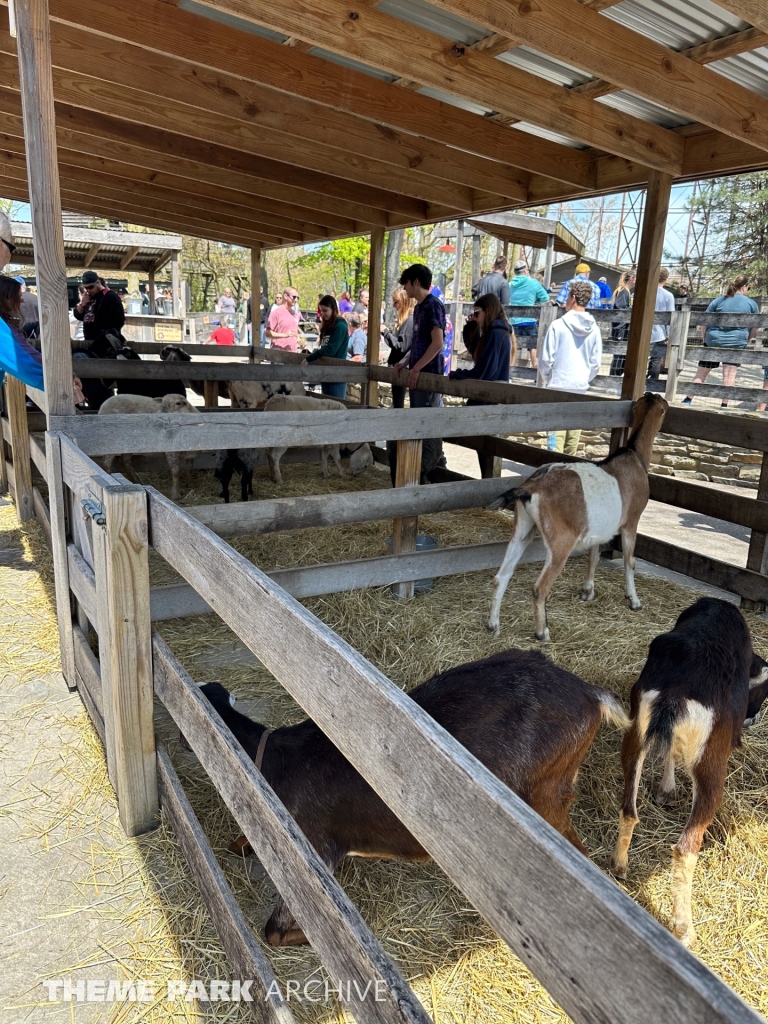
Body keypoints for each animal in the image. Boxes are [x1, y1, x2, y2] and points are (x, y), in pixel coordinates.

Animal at [489, 391, 671, 638]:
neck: (634, 456)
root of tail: (531, 488)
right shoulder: (631, 522)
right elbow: (629, 561)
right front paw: (634, 600)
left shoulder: (599, 530)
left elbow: (593, 557)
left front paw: (587, 591)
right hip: (560, 542)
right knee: (539, 588)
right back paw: (542, 632)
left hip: (523, 529)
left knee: (501, 576)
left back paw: (493, 625)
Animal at [614, 598, 768, 950]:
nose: (752, 719)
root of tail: (677, 691)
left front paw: (665, 791)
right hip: (711, 766)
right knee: (685, 848)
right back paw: (685, 929)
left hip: (635, 732)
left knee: (629, 808)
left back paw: (619, 866)